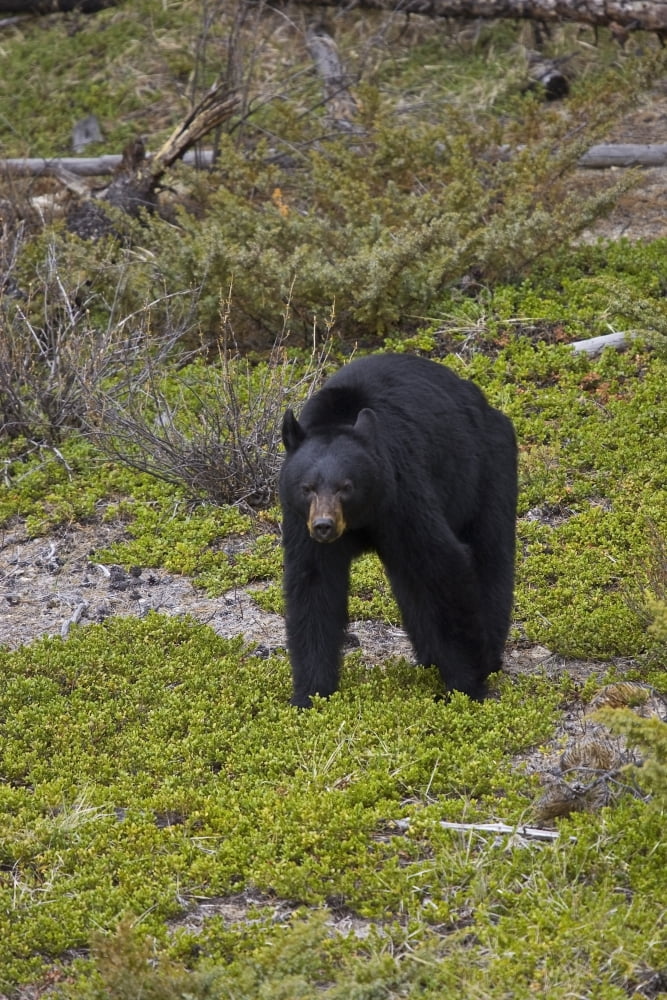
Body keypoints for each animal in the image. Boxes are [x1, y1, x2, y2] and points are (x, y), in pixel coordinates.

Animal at [278, 353, 517, 708]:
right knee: (410, 586)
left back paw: (488, 657)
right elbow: (313, 588)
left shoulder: (401, 495)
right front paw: (310, 694)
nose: (324, 526)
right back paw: (429, 657)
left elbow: (442, 566)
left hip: (487, 470)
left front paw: (466, 685)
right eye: (307, 487)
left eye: (346, 486)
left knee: (490, 556)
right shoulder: (299, 521)